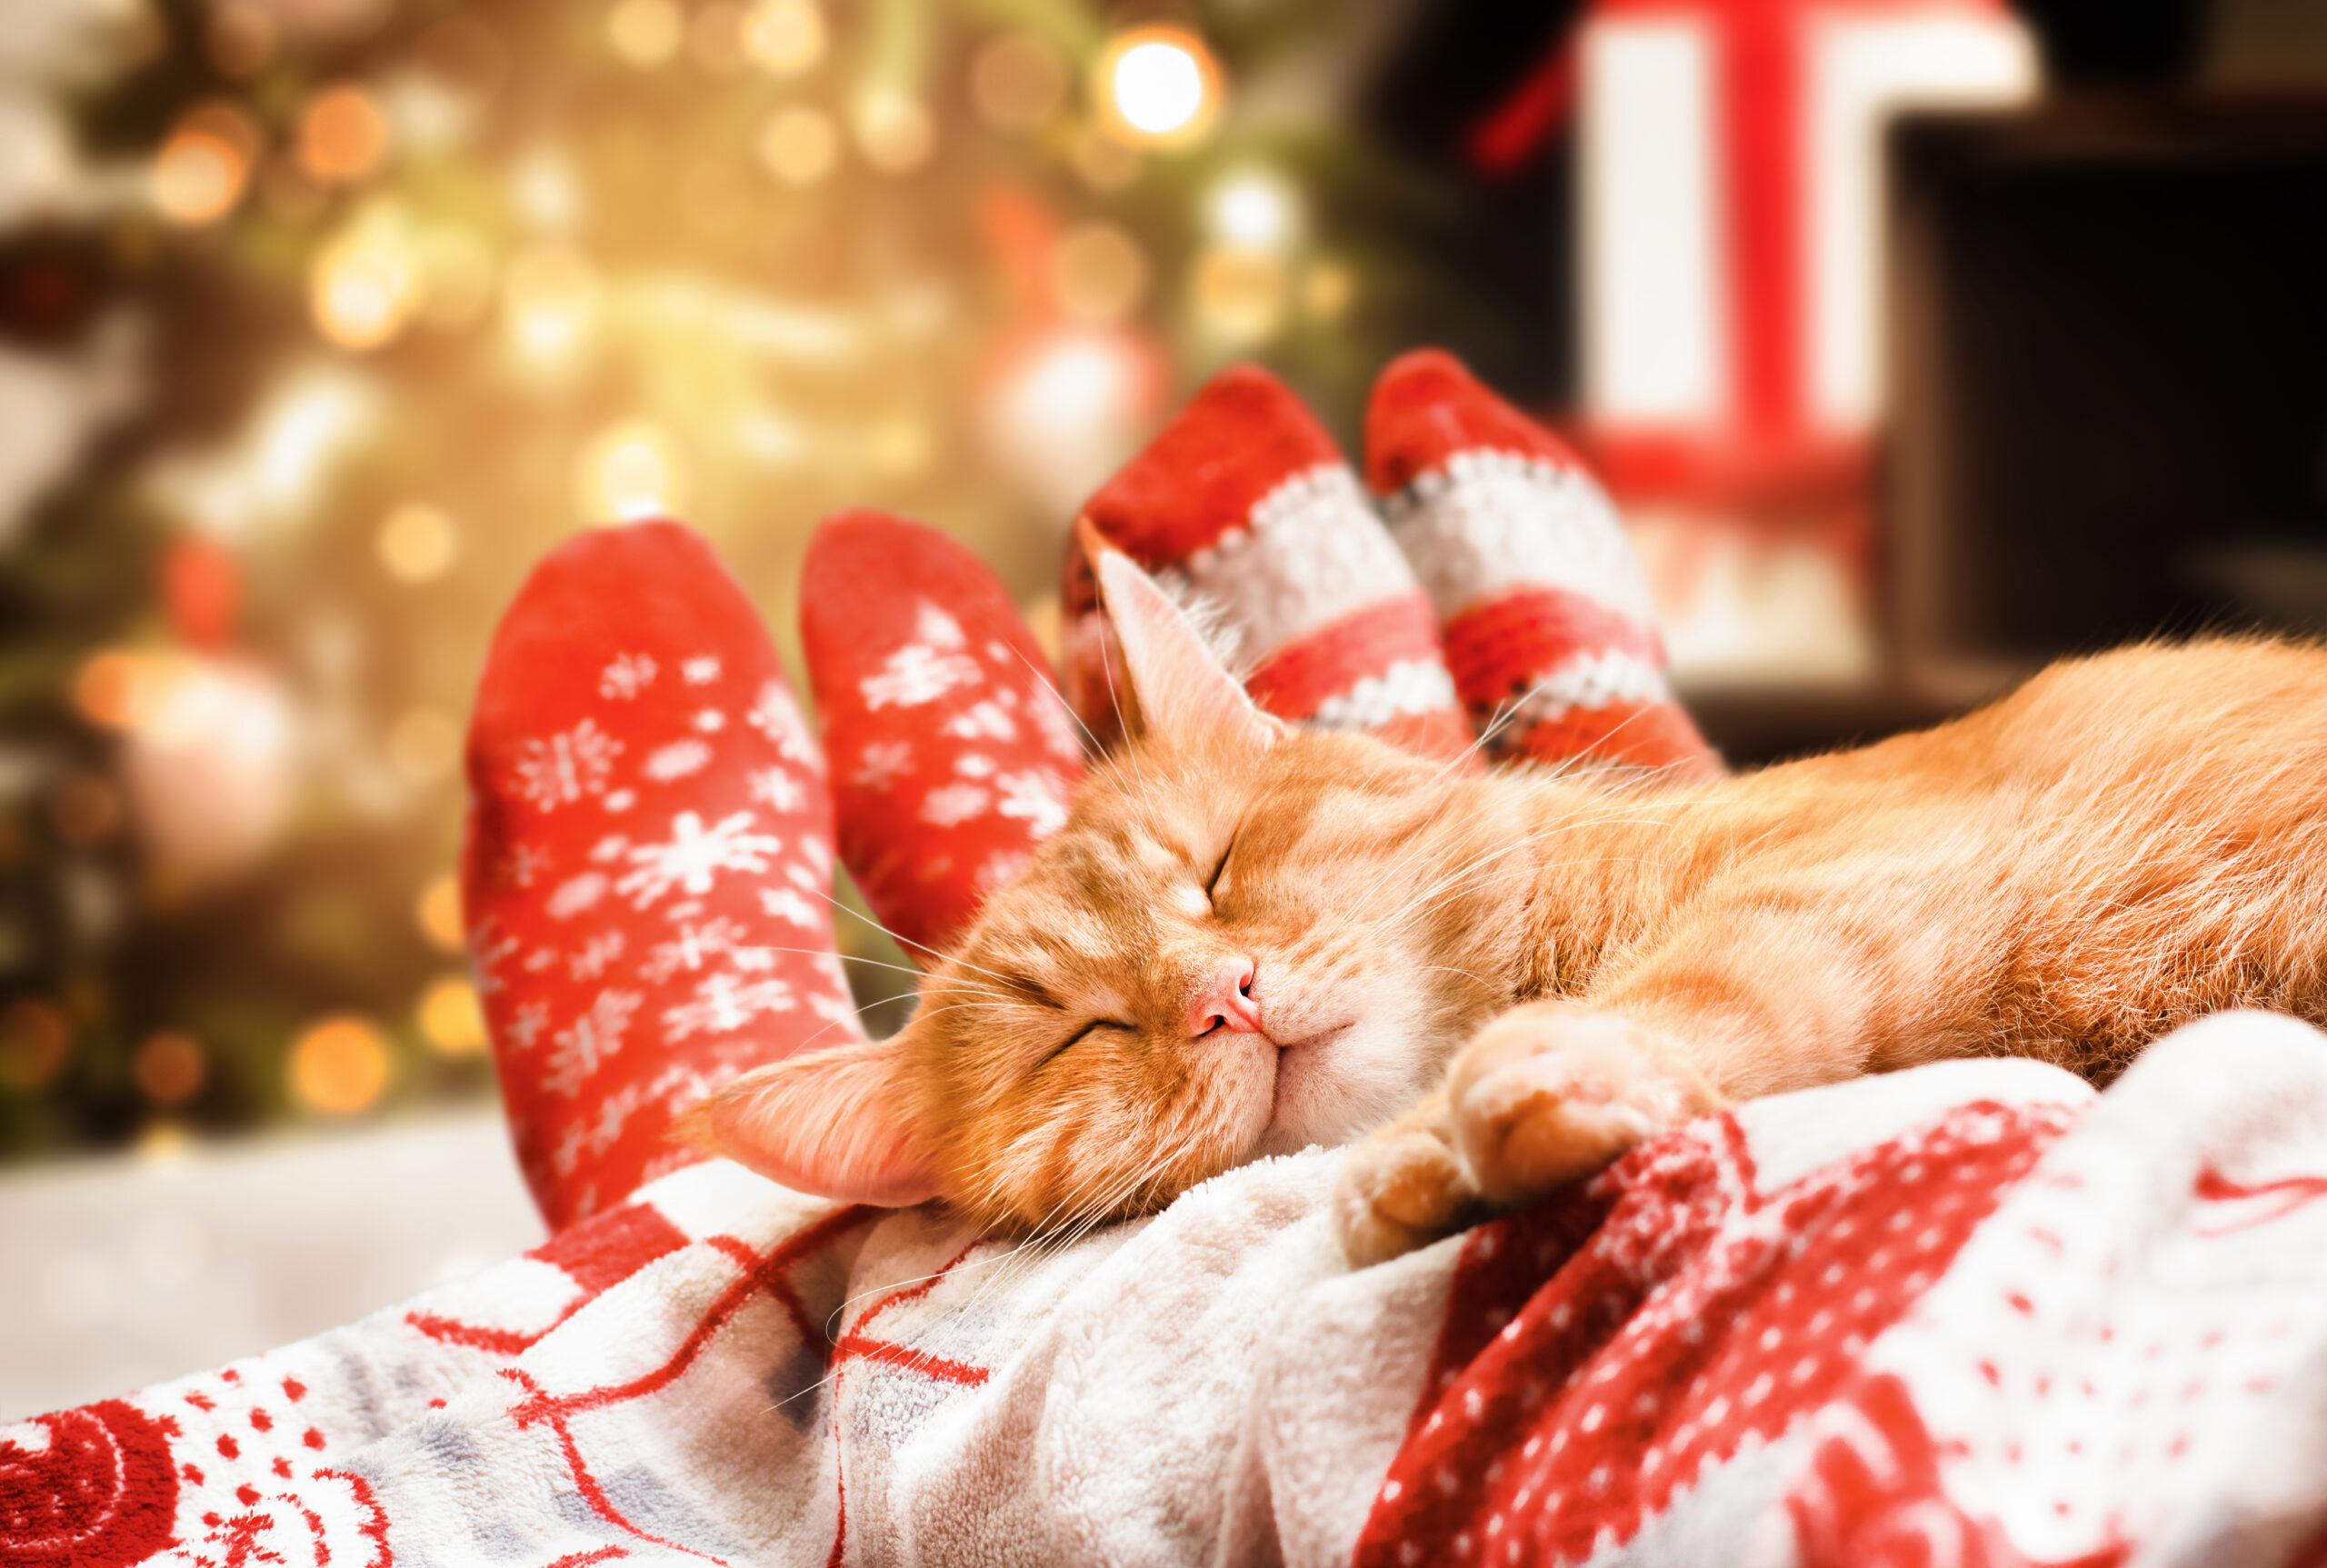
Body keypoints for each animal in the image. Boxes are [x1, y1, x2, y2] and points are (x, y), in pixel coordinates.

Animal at [698, 544, 2327, 1265]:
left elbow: (1693, 996)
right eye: (1075, 1032)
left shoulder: (1853, 883)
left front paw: (1492, 1106)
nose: (1221, 996)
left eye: (1220, 866)